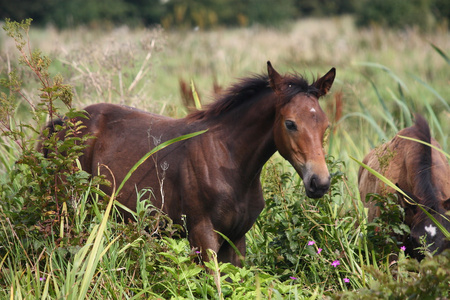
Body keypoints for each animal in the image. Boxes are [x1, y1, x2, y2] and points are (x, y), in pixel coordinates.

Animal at [44, 61, 336, 264]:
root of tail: (63, 123)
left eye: (325, 124)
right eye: (290, 123)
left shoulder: (236, 239)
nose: (319, 182)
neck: (229, 159)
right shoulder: (202, 235)